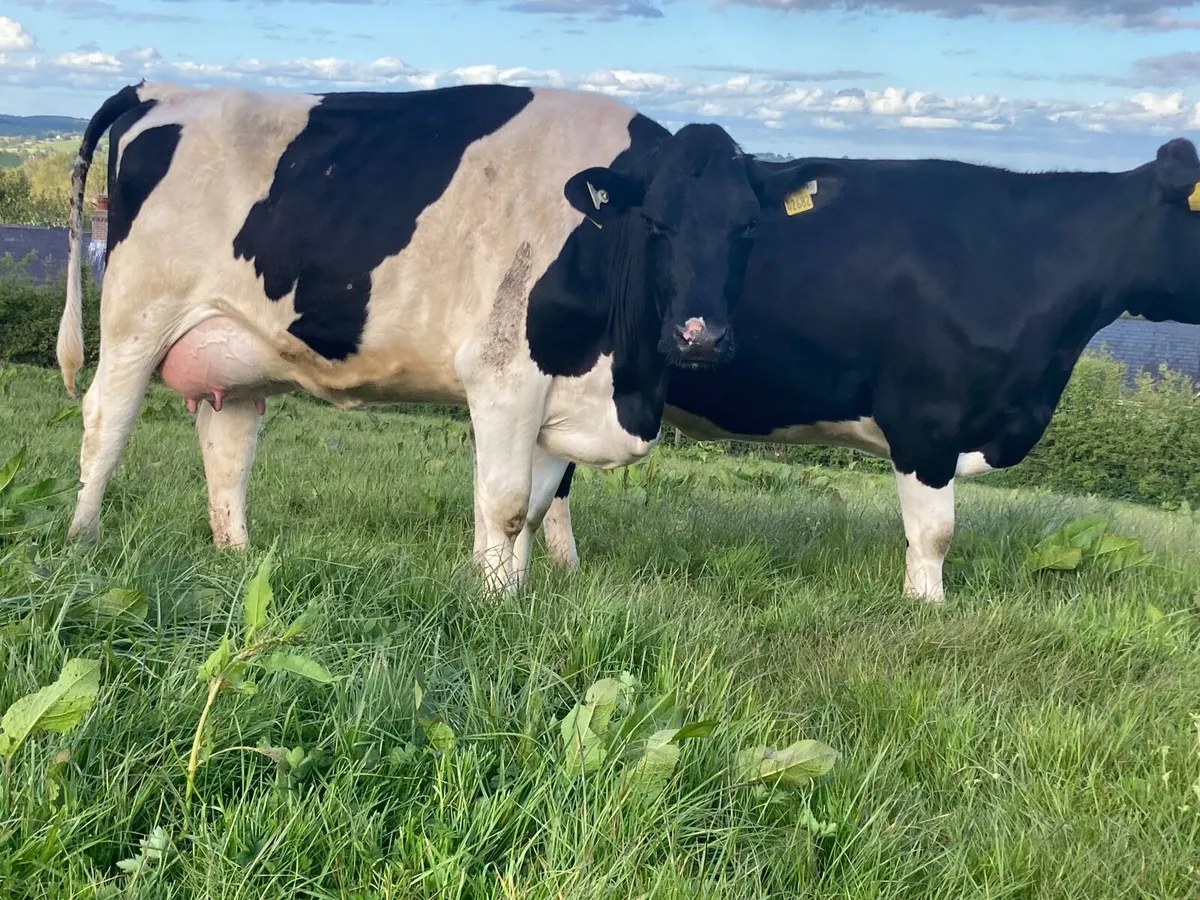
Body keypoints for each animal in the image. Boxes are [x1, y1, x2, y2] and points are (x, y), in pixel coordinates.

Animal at [55, 80, 848, 593]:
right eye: (655, 223)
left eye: (748, 227)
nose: (699, 337)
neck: (623, 379)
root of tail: (163, 88)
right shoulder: (503, 376)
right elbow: (504, 504)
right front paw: (492, 607)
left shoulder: (557, 396)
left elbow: (535, 507)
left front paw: (515, 599)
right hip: (137, 313)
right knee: (105, 420)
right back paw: (79, 545)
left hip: (235, 349)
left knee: (227, 451)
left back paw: (236, 559)